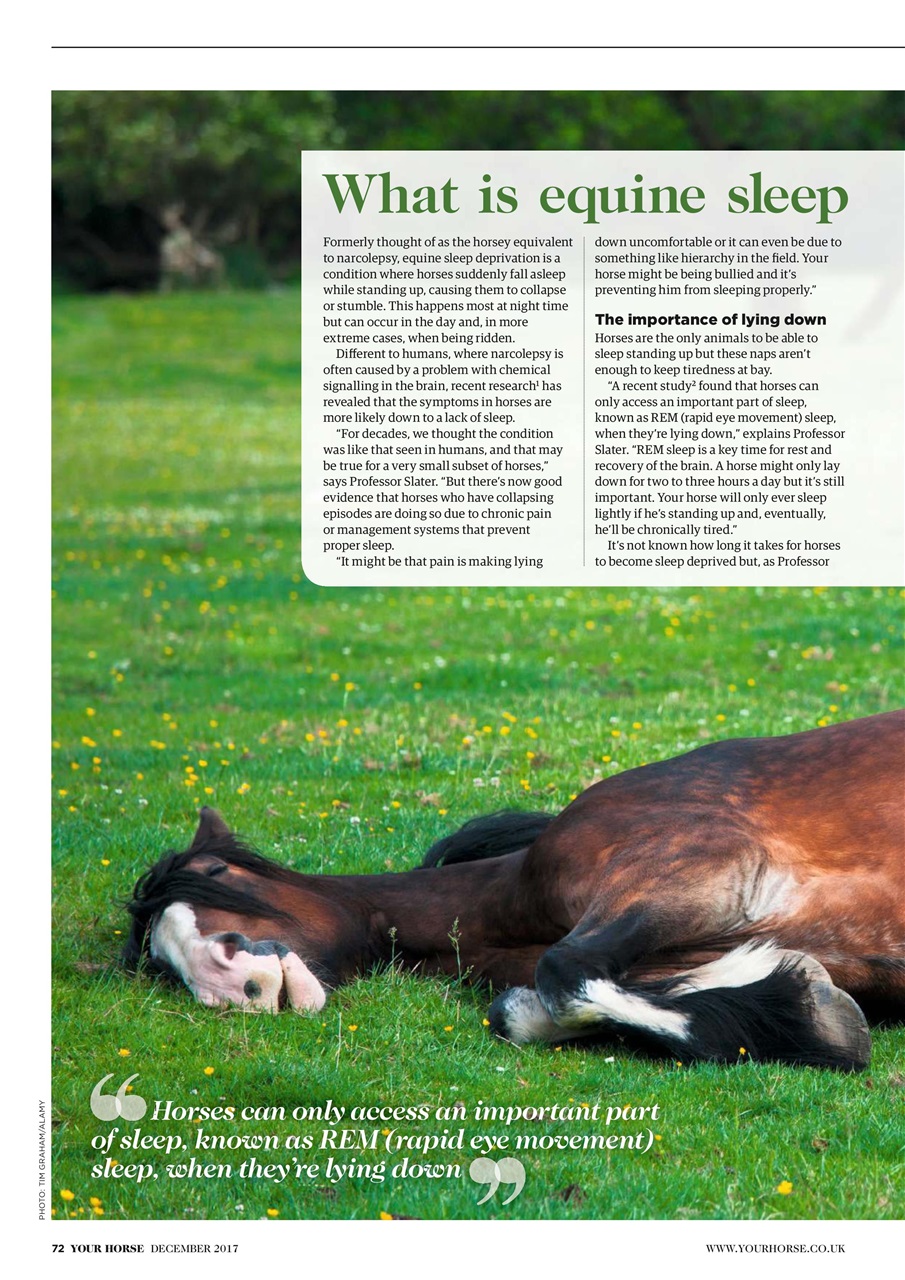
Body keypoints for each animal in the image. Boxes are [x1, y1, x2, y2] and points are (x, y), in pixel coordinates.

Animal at [124, 709, 905, 1071]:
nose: (230, 982)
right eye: (157, 961)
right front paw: (789, 1005)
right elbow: (523, 1011)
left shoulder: (705, 866)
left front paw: (809, 1018)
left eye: (219, 877)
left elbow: (563, 971)